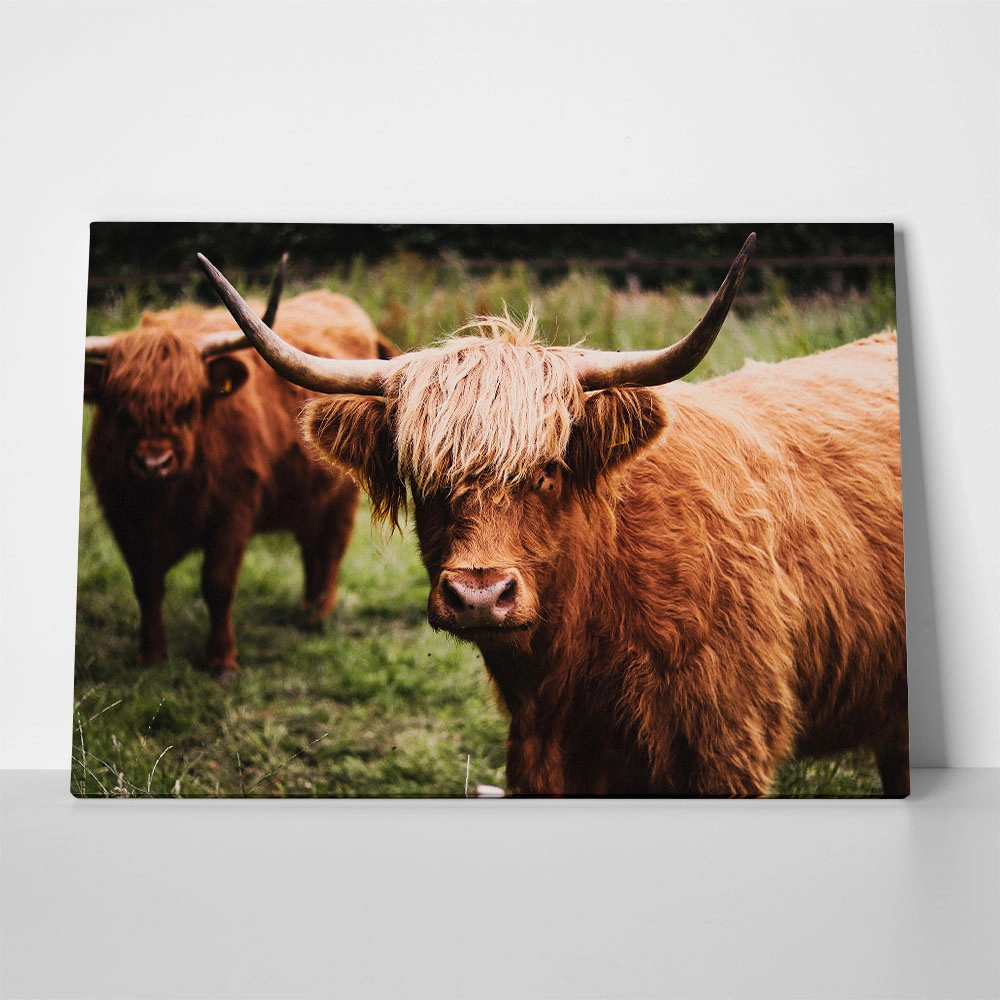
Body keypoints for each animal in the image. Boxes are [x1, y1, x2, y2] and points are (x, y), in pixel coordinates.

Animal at [83, 262, 399, 678]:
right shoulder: (123, 517)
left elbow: (217, 584)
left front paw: (222, 662)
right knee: (311, 547)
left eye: (189, 406)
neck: (165, 500)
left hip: (342, 495)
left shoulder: (232, 511)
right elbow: (147, 585)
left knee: (329, 548)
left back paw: (317, 618)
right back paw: (306, 612)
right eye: (120, 409)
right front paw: (150, 656)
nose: (153, 463)